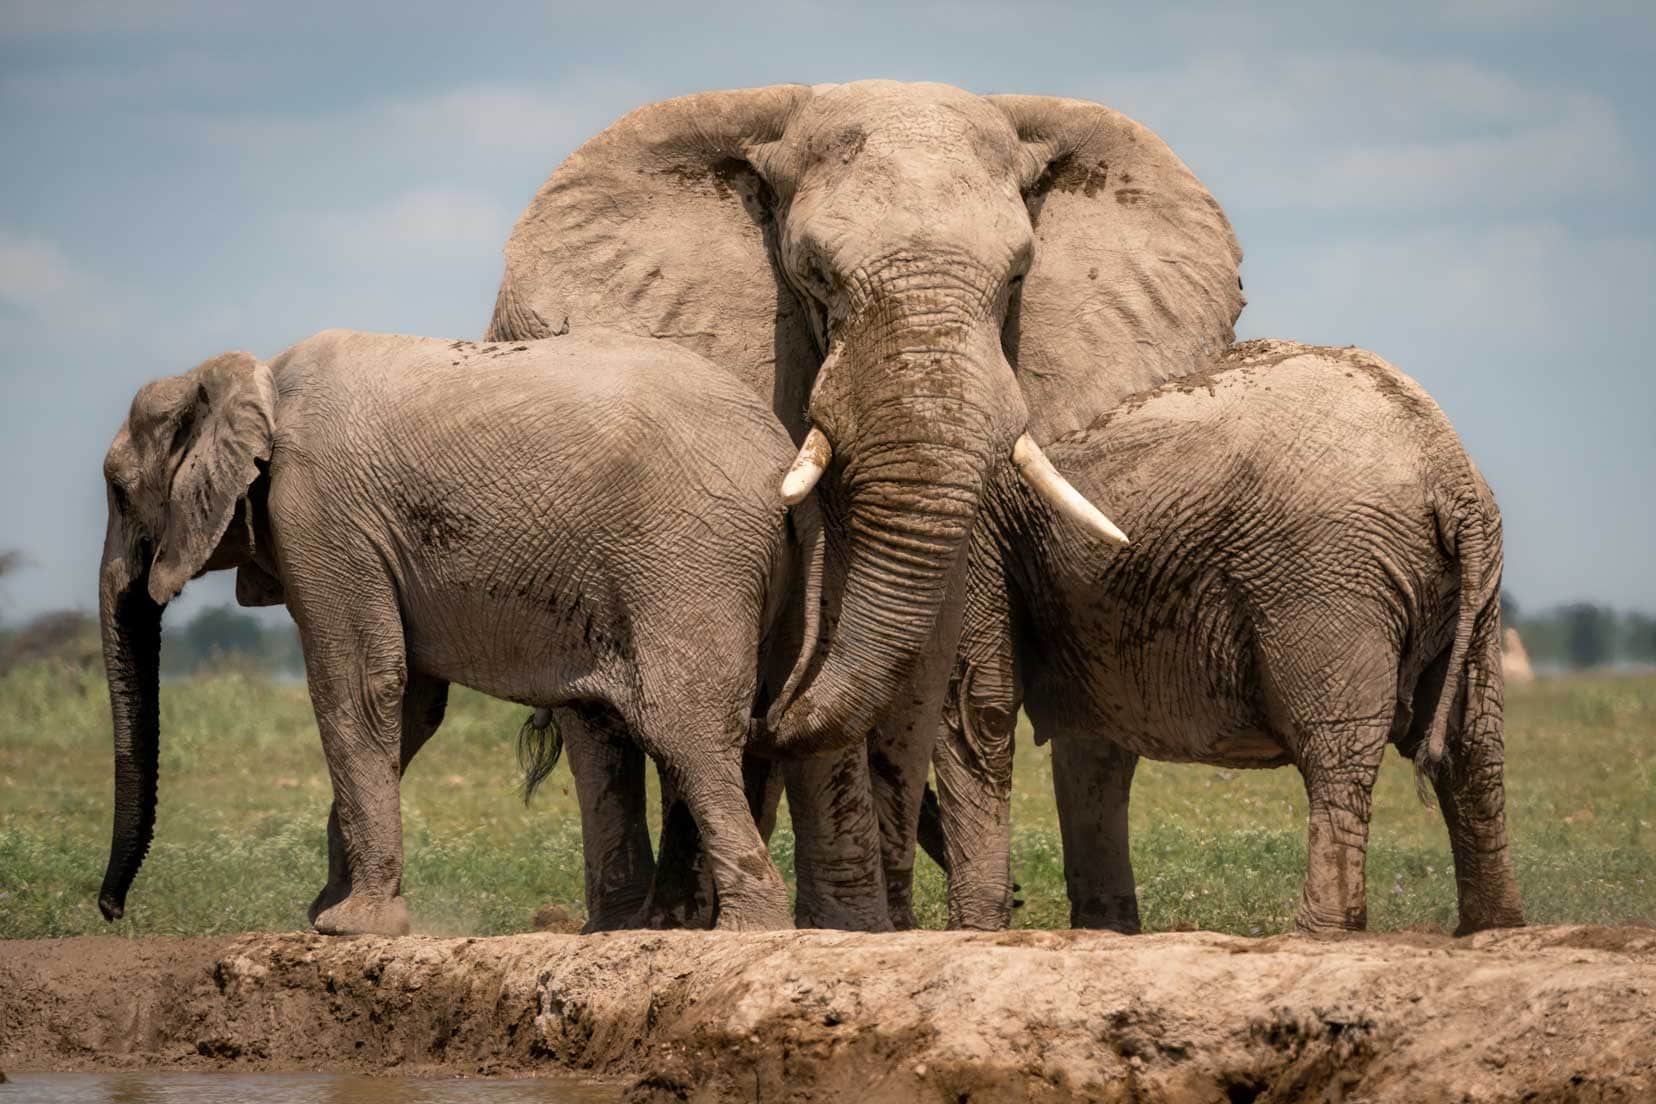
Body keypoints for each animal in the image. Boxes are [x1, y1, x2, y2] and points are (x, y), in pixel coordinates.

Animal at [483, 75, 1238, 926]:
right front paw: (850, 926)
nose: (767, 717)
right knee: (594, 728)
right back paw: (628, 921)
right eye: (814, 273)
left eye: (1018, 275)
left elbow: (919, 657)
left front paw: (891, 927)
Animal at [927, 340, 1516, 940]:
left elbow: (975, 708)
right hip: (1468, 589)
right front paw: (1101, 931)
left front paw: (972, 933)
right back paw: (1493, 929)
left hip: (1324, 576)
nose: (1020, 895)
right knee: (1474, 749)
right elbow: (1077, 734)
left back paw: (1316, 936)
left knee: (1339, 751)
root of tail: (1450, 474)